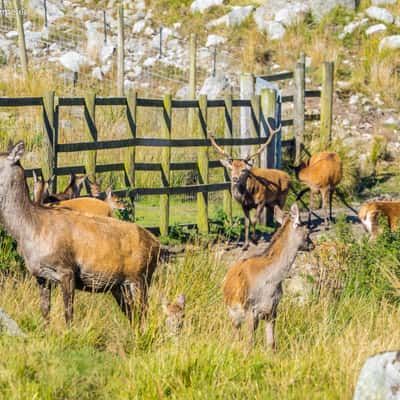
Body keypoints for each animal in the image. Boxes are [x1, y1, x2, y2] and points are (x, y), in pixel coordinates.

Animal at [1, 142, 161, 326]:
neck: (31, 229)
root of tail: (157, 244)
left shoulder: (67, 270)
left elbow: (69, 315)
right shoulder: (40, 276)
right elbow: (45, 313)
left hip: (141, 276)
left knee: (144, 314)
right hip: (120, 285)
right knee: (133, 315)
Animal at [209, 122, 290, 250]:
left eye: (243, 170)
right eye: (231, 169)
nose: (235, 179)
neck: (248, 194)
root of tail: (288, 176)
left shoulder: (261, 201)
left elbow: (255, 220)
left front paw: (255, 240)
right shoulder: (244, 205)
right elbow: (247, 223)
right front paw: (245, 244)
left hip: (282, 197)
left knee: (281, 216)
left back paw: (276, 235)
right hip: (272, 203)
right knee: (280, 216)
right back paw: (275, 235)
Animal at [223, 205, 314, 348]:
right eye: (308, 231)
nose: (313, 245)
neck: (270, 283)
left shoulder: (272, 309)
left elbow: (271, 343)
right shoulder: (249, 308)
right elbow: (249, 343)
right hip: (233, 312)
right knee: (236, 335)